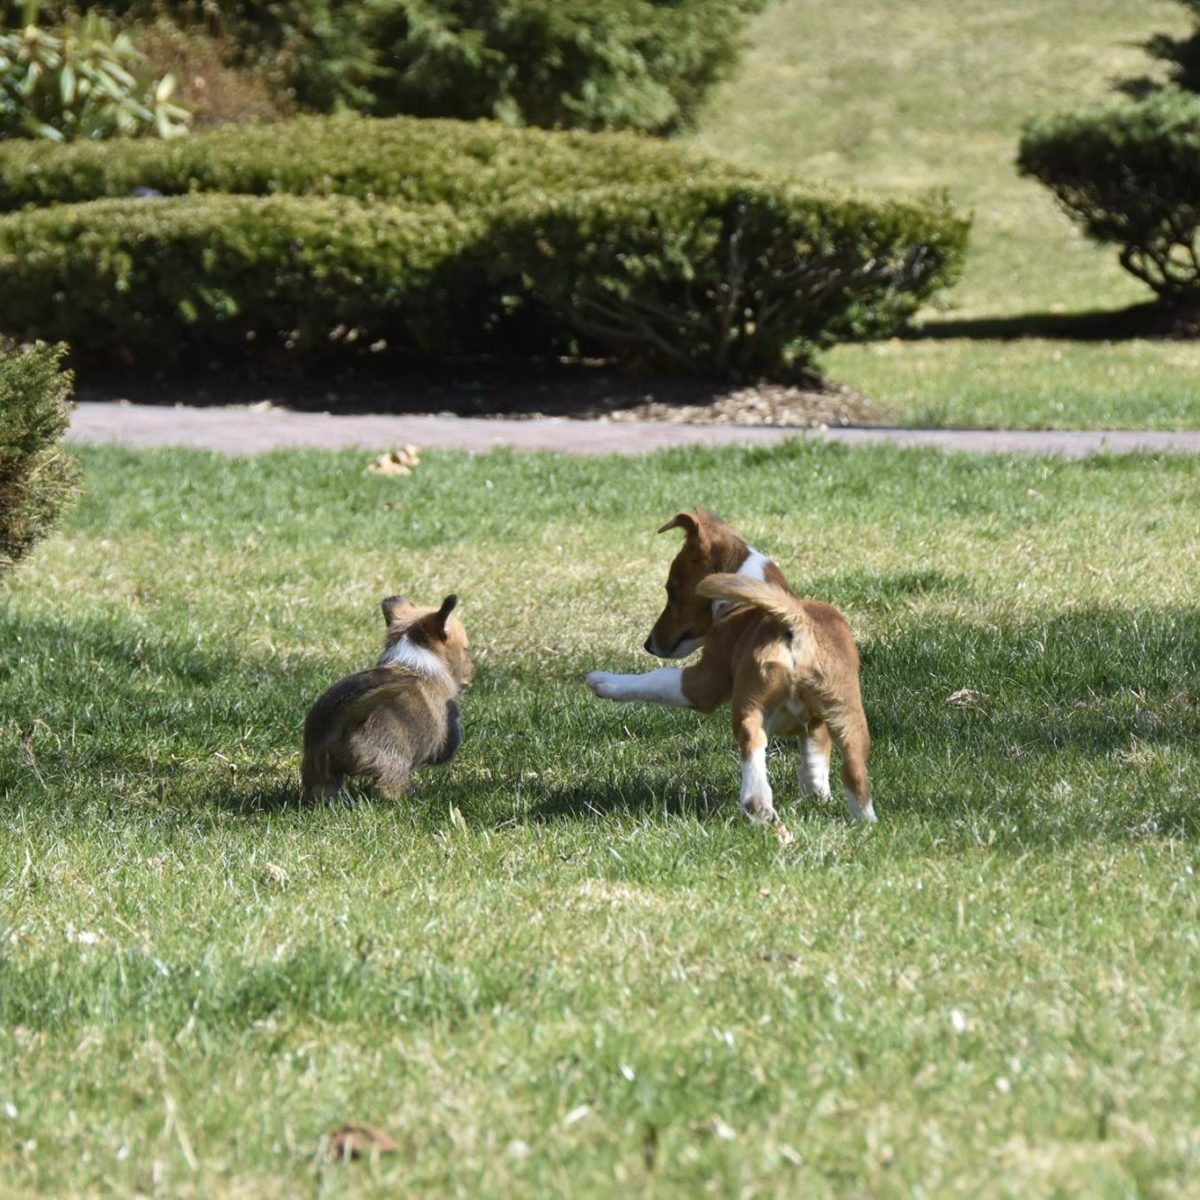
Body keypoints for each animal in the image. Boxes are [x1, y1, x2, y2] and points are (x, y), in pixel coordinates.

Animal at [302, 595, 475, 801]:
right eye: (466, 650)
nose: (473, 672)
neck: (415, 659)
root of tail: (347, 715)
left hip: (317, 769)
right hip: (393, 760)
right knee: (387, 787)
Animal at [588, 511, 878, 830]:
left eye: (671, 589)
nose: (648, 644)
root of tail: (792, 619)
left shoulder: (704, 682)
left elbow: (656, 679)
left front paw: (604, 682)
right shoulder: (816, 723)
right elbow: (815, 756)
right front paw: (816, 793)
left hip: (748, 701)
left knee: (752, 741)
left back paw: (757, 804)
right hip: (847, 713)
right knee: (854, 771)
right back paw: (864, 822)